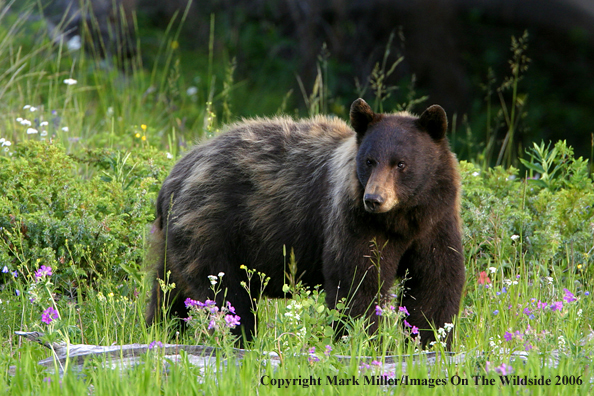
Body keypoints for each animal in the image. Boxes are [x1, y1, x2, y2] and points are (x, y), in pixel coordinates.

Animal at [147, 98, 462, 346]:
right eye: (369, 161)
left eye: (401, 163)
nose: (374, 199)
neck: (403, 220)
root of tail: (174, 177)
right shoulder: (352, 220)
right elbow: (358, 281)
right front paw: (362, 339)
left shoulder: (437, 223)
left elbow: (435, 283)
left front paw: (430, 340)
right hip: (212, 229)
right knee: (227, 296)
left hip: (177, 243)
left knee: (168, 293)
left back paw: (160, 330)